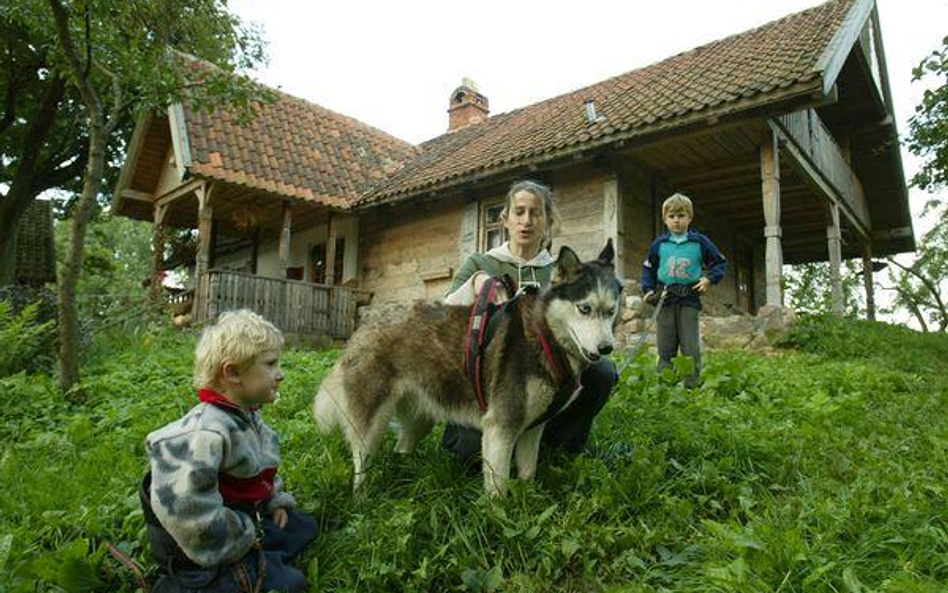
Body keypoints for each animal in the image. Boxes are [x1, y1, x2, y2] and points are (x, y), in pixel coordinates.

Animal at [312, 240, 624, 494]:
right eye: (584, 308)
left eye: (611, 311)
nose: (605, 349)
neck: (544, 336)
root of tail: (363, 327)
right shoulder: (500, 428)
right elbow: (498, 489)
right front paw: (499, 520)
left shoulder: (532, 429)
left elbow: (527, 475)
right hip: (370, 426)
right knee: (361, 464)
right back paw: (361, 499)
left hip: (421, 416)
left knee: (402, 446)